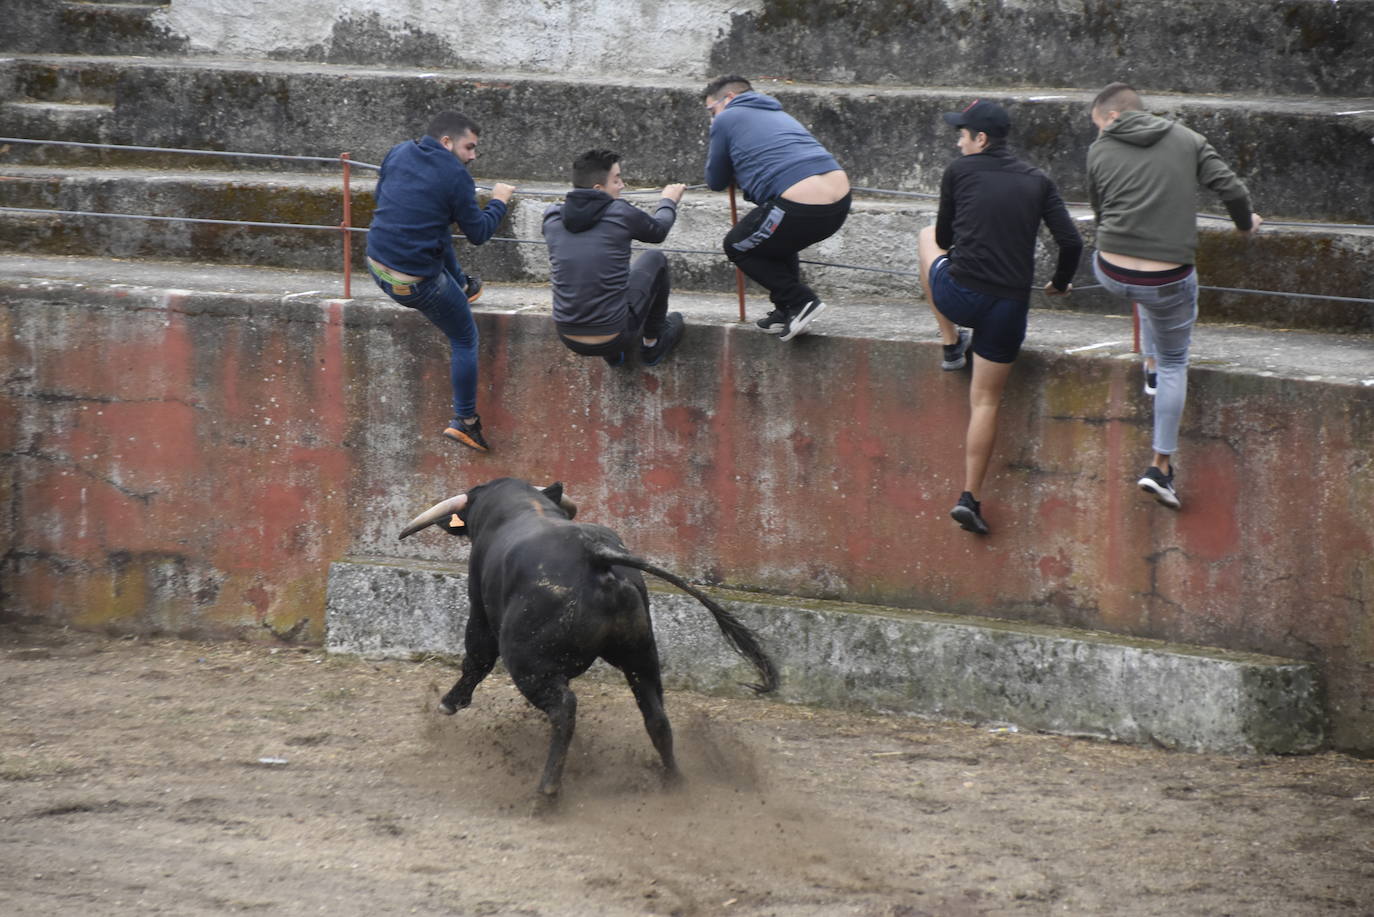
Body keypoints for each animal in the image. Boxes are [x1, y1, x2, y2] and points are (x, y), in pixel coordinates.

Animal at [401, 478, 780, 797]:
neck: (522, 505)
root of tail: (595, 556)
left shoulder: (479, 607)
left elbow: (477, 657)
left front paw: (449, 702)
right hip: (641, 654)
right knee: (656, 716)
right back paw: (673, 781)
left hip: (528, 663)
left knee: (564, 708)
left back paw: (548, 790)